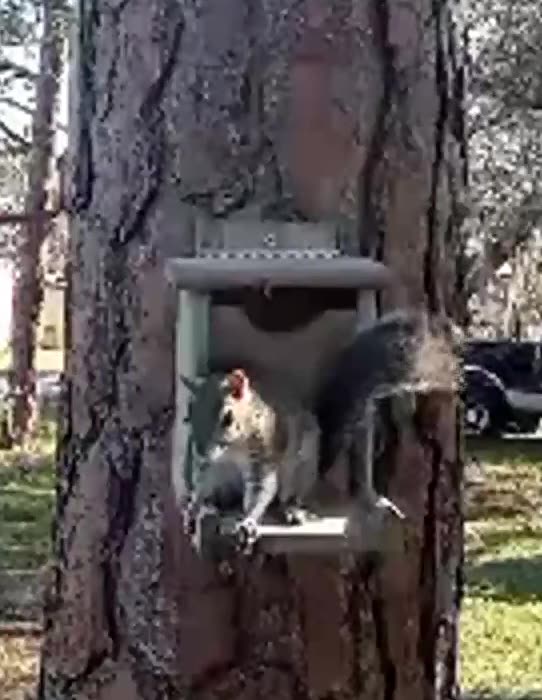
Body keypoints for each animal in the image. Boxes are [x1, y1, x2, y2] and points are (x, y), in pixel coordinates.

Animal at [180, 309, 458, 553]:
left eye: (227, 418)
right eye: (189, 413)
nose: (201, 451)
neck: (232, 449)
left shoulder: (265, 453)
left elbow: (261, 490)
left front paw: (247, 521)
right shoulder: (210, 468)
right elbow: (202, 484)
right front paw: (193, 508)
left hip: (301, 468)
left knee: (285, 497)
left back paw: (291, 509)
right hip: (228, 481)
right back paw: (215, 506)